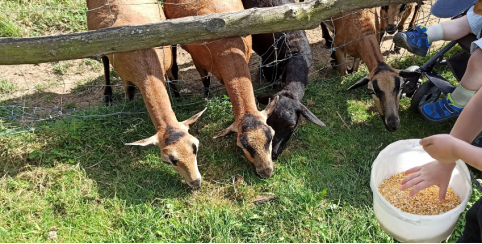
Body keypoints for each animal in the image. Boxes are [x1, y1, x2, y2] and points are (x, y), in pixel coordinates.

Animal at [85, 0, 204, 188]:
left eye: (195, 146)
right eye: (168, 160)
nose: (196, 182)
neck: (144, 60)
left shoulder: (167, 63)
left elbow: (173, 76)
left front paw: (178, 98)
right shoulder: (126, 77)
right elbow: (130, 93)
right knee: (103, 60)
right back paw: (107, 96)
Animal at [166, 0, 278, 178]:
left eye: (271, 136)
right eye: (242, 145)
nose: (266, 172)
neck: (228, 47)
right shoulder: (198, 61)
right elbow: (205, 81)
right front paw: (205, 96)